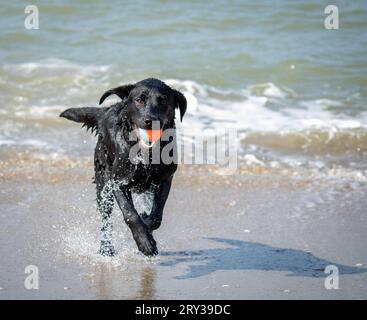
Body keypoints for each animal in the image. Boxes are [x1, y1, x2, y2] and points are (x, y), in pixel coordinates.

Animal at [60, 79, 188, 256]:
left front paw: (147, 226)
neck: (145, 154)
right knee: (105, 219)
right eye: (139, 100)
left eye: (163, 101)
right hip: (102, 182)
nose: (151, 120)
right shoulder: (117, 182)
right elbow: (130, 213)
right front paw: (144, 242)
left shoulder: (164, 180)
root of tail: (107, 110)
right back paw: (106, 249)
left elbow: (156, 217)